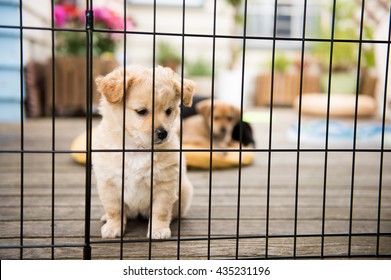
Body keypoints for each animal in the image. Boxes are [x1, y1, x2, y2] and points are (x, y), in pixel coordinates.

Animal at [92, 65, 196, 238]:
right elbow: (114, 210)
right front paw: (113, 228)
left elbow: (160, 211)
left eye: (168, 111)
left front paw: (159, 230)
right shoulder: (110, 183)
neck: (138, 148)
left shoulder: (164, 186)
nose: (163, 133)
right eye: (141, 111)